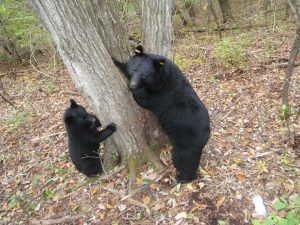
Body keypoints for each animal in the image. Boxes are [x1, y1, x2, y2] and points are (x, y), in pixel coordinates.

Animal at [113, 45, 210, 183]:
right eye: (132, 70)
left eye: (144, 75)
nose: (132, 85)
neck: (162, 74)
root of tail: (206, 136)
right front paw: (116, 60)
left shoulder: (160, 94)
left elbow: (144, 99)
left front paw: (135, 91)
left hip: (185, 144)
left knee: (183, 160)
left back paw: (183, 177)